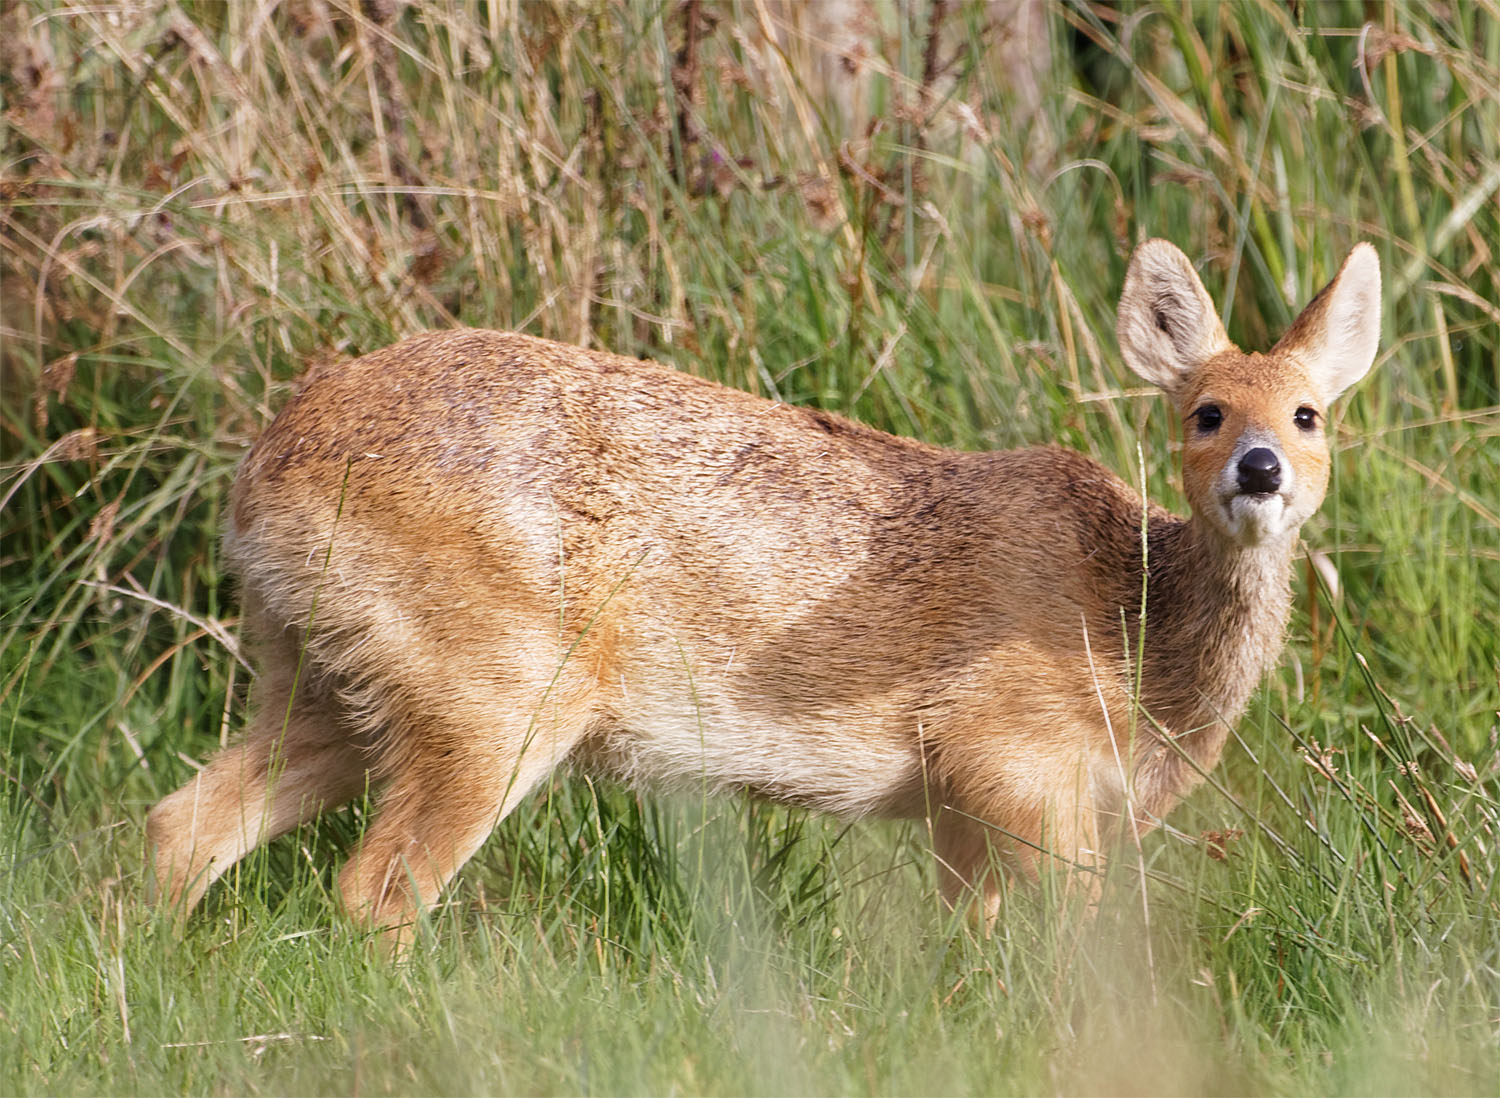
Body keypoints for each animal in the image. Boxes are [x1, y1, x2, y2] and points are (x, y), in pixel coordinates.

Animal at [146, 239, 1381, 949]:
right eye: (1205, 411)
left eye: (1309, 414)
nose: (1259, 469)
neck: (1133, 633)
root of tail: (263, 469)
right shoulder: (1009, 758)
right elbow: (1080, 941)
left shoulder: (963, 814)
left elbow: (970, 954)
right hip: (488, 694)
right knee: (378, 887)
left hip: (333, 680)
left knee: (185, 826)